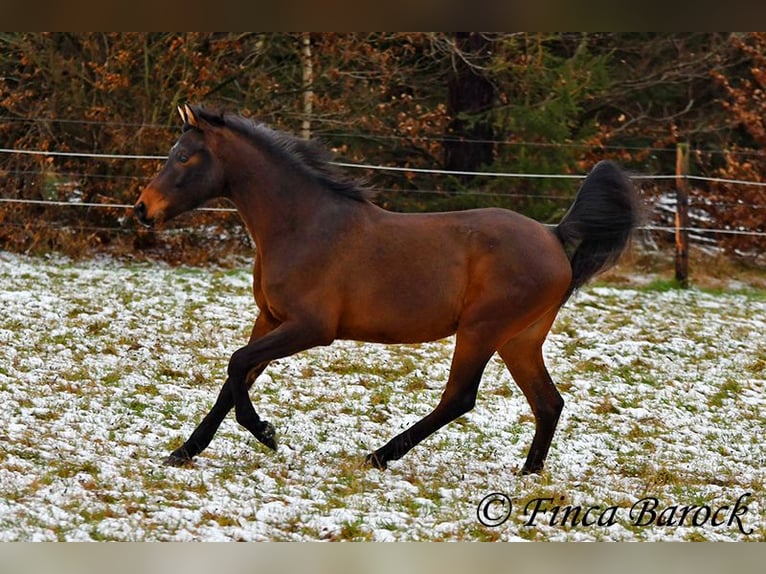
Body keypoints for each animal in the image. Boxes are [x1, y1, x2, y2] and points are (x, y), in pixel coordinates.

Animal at [134, 104, 640, 476]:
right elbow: (234, 378)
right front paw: (184, 451)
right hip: (519, 339)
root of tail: (555, 236)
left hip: (482, 330)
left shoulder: (310, 328)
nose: (142, 209)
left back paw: (379, 455)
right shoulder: (271, 318)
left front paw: (266, 433)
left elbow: (237, 364)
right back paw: (527, 473)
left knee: (460, 398)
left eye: (183, 156)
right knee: (548, 403)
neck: (303, 225)